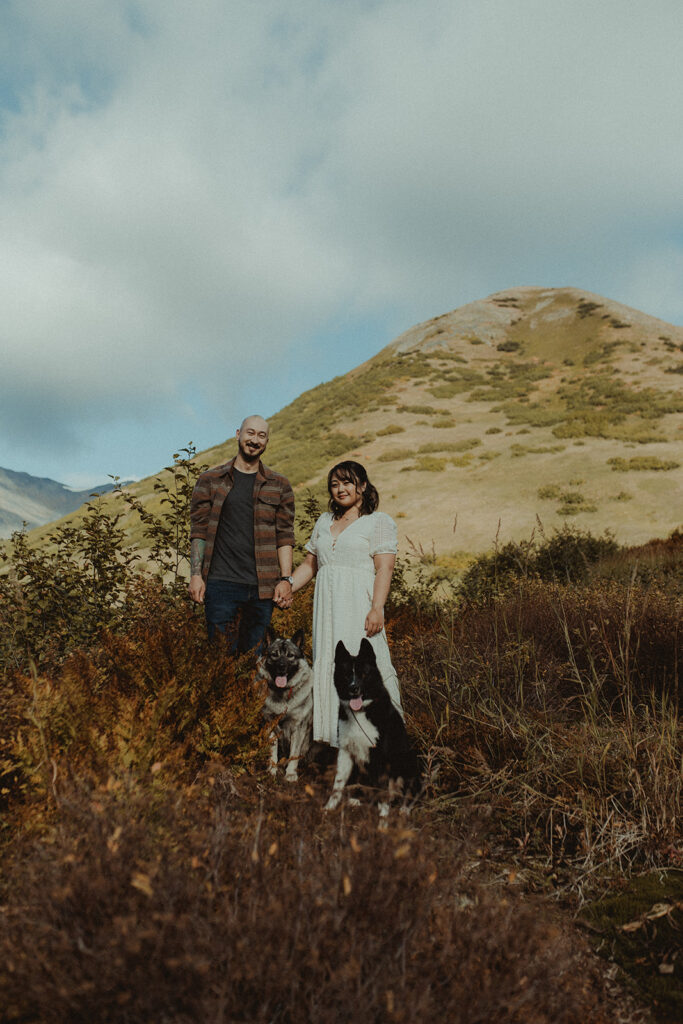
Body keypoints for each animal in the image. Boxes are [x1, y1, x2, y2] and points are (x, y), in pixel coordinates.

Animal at [258, 622, 313, 782]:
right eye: (274, 654)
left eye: (290, 655)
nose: (281, 667)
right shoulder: (270, 724)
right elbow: (272, 751)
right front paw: (272, 770)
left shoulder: (298, 728)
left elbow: (294, 754)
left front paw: (290, 774)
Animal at [325, 634, 421, 819]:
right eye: (347, 675)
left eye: (363, 674)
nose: (353, 688)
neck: (362, 711)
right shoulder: (346, 752)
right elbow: (337, 785)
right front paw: (329, 808)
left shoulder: (380, 756)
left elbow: (382, 790)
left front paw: (382, 817)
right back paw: (357, 801)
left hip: (409, 760)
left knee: (412, 794)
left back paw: (404, 809)